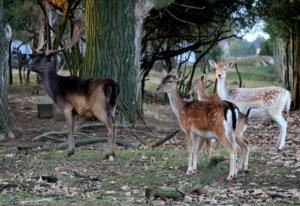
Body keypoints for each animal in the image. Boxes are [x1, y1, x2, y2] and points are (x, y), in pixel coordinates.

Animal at [28, 20, 119, 159]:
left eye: (43, 59)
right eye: (35, 57)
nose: (29, 66)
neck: (55, 88)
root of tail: (112, 85)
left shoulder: (66, 106)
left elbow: (68, 128)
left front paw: (69, 151)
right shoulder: (75, 111)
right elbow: (73, 129)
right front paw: (73, 150)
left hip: (98, 108)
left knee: (110, 125)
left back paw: (108, 154)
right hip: (112, 107)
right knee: (115, 124)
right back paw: (113, 152)